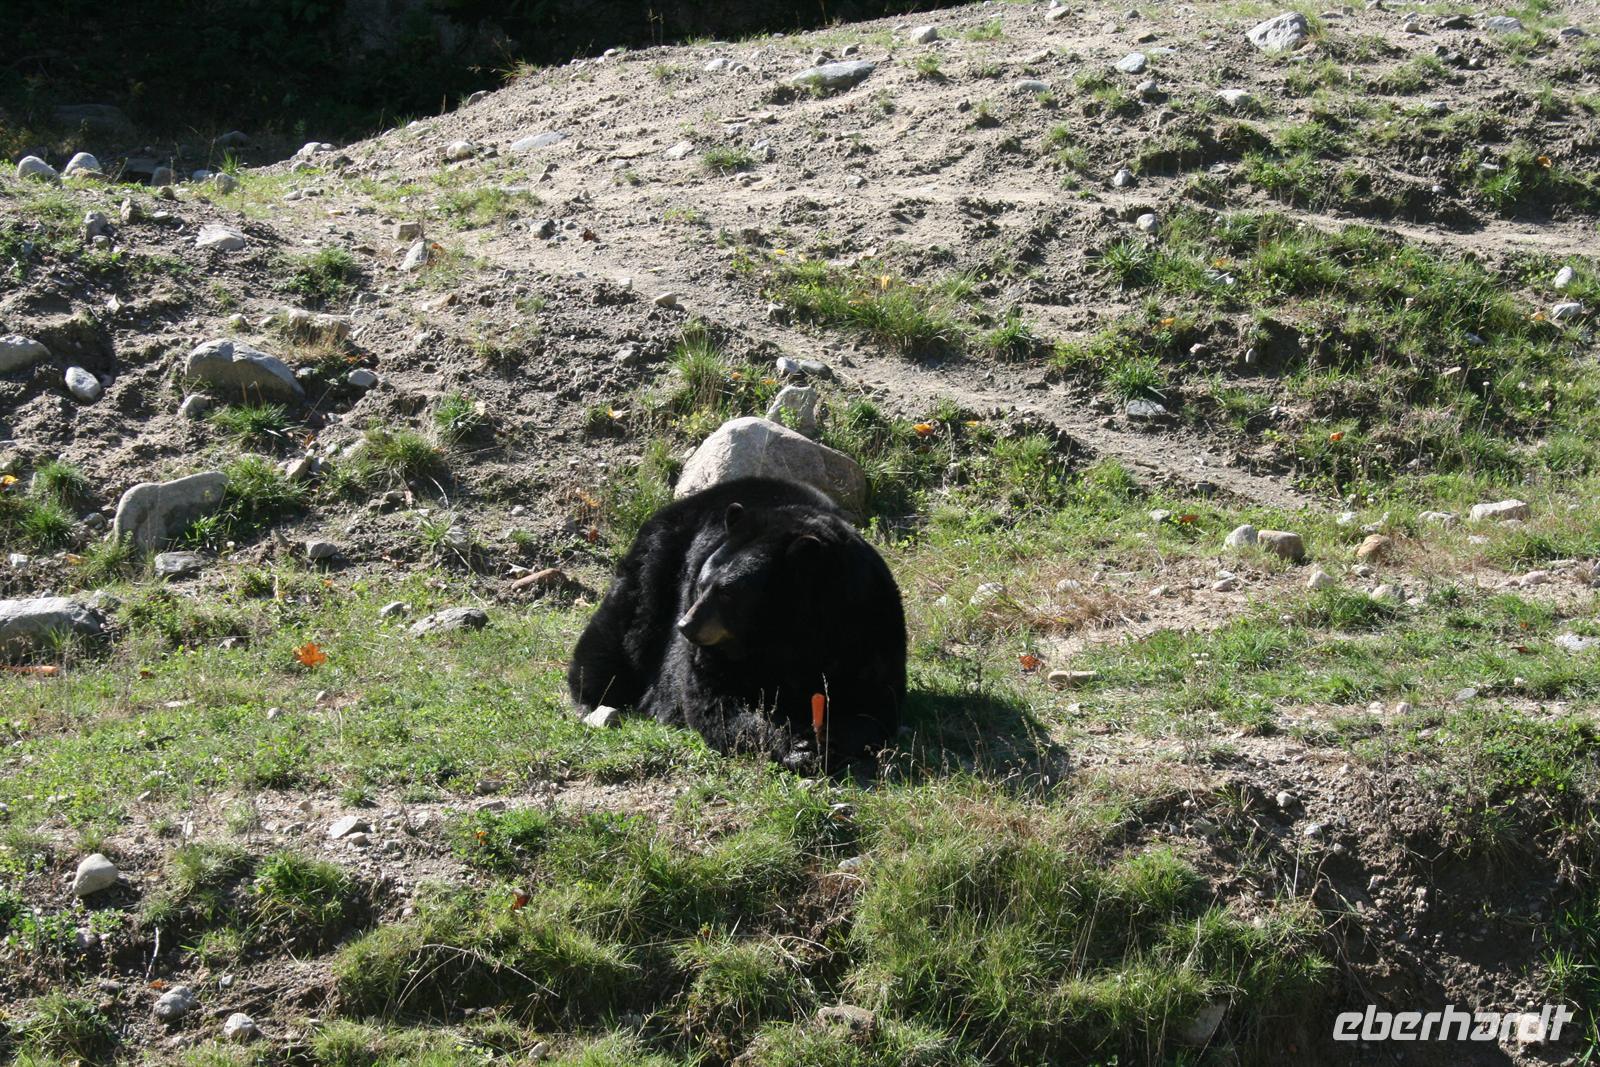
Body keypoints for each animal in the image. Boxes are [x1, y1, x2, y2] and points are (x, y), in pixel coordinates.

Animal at [568, 476, 906, 771]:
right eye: (702, 584)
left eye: (728, 593)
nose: (686, 626)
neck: (785, 636)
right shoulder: (718, 650)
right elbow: (716, 699)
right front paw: (798, 747)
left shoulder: (866, 623)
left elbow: (875, 701)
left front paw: (831, 739)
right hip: (654, 569)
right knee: (620, 634)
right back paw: (593, 699)